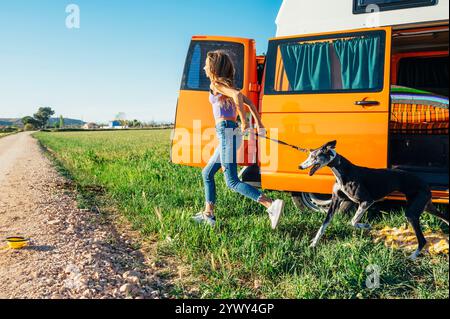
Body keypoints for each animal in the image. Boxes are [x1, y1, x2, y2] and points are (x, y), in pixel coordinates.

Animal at [298, 141, 448, 262]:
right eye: (309, 155)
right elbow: (323, 225)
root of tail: (425, 184)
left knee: (422, 239)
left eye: (314, 156)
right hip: (425, 206)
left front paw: (366, 226)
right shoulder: (335, 201)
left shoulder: (367, 201)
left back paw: (412, 256)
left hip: (412, 213)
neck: (342, 170)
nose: (299, 166)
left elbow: (353, 221)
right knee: (445, 218)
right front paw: (313, 244)